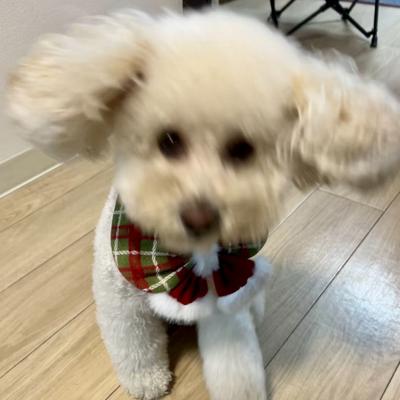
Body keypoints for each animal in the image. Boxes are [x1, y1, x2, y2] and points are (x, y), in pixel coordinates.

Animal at [7, 9, 400, 400]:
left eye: (242, 149)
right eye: (168, 141)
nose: (200, 218)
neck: (178, 257)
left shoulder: (225, 295)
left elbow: (234, 362)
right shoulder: (121, 301)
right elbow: (134, 345)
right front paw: (147, 381)